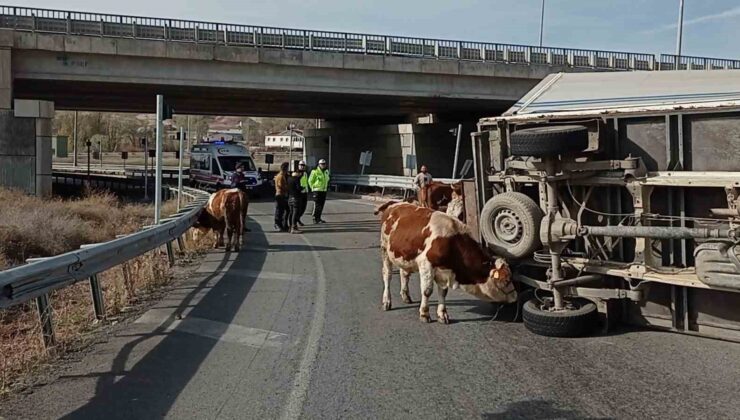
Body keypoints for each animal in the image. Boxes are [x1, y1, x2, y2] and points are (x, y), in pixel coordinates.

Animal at [376, 202, 516, 324]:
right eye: (506, 280)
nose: (515, 298)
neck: (452, 241)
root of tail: (393, 204)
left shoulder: (444, 271)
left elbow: (443, 292)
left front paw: (442, 314)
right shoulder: (426, 264)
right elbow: (427, 291)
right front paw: (424, 314)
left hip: (404, 256)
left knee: (404, 274)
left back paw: (405, 296)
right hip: (384, 250)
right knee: (387, 275)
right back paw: (386, 301)